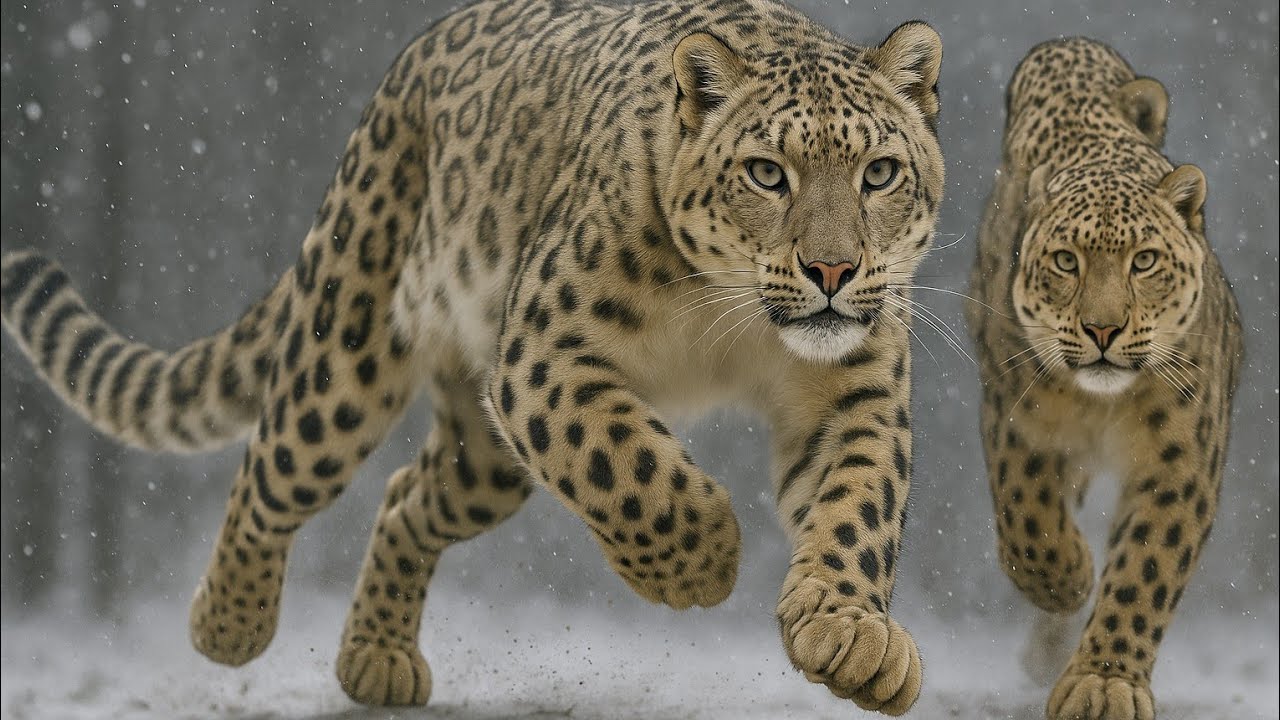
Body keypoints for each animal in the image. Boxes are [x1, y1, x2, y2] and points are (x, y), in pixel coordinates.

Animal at [0, 0, 946, 713]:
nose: (833, 270)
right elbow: (631, 468)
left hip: (483, 458)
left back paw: (376, 661)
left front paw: (850, 635)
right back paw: (227, 624)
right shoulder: (544, 355)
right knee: (274, 469)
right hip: (345, 354)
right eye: (765, 173)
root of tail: (405, 67)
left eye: (879, 174)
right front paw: (702, 563)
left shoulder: (853, 390)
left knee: (404, 497)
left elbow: (856, 505)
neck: (735, 321)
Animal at [965, 38, 1243, 720]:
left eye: (1144, 261)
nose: (1102, 329)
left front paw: (1105, 683)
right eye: (1067, 261)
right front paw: (1070, 579)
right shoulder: (1014, 417)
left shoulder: (1182, 459)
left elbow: (1145, 570)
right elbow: (1027, 520)